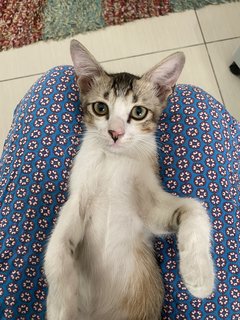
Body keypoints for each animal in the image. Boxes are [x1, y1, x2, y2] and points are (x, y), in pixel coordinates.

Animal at [44, 40, 215, 320]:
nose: (115, 133)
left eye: (138, 112)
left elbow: (194, 207)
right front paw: (61, 303)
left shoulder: (148, 210)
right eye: (100, 107)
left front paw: (199, 276)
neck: (114, 162)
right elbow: (56, 249)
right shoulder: (78, 197)